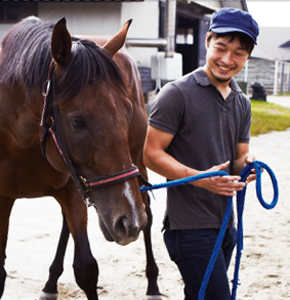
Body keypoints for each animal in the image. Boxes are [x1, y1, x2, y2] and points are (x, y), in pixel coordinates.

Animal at [0, 17, 160, 300]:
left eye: (127, 112)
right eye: (77, 121)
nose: (128, 220)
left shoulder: (74, 189)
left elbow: (86, 269)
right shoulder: (4, 198)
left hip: (136, 163)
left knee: (148, 215)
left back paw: (152, 283)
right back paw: (50, 282)